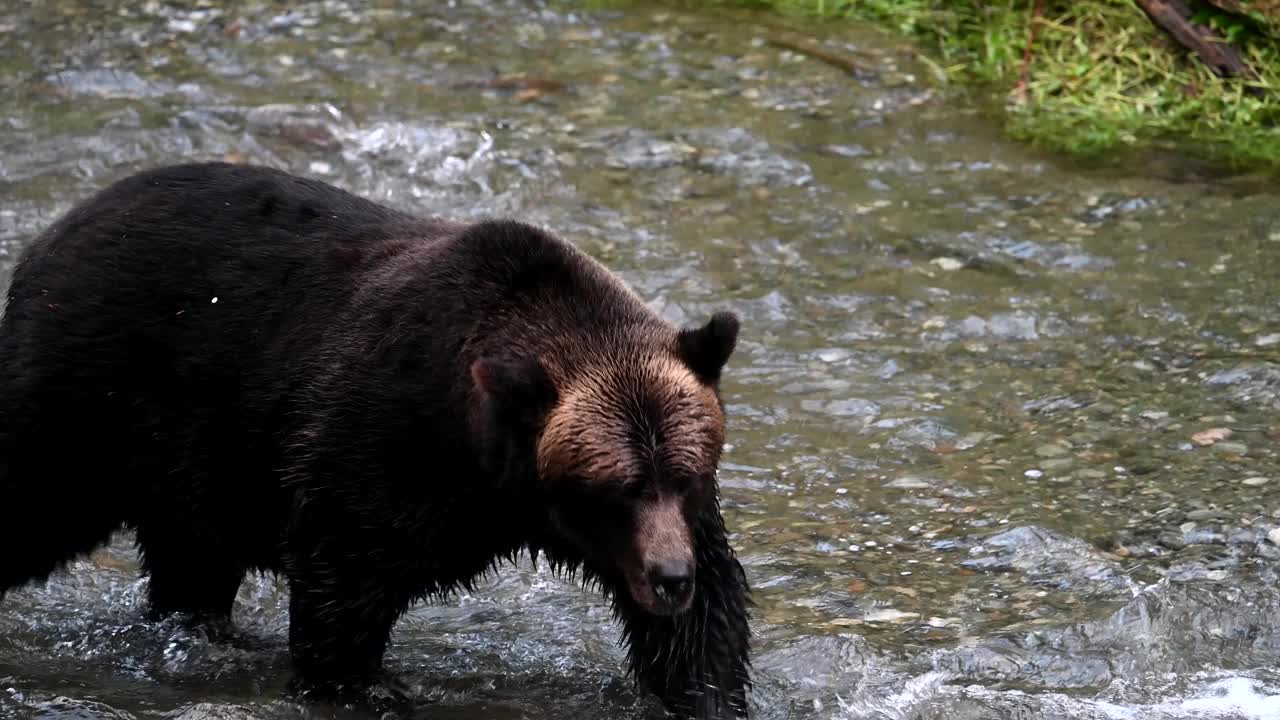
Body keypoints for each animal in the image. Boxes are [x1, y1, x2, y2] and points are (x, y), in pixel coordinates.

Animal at [0, 162, 752, 717]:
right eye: (618, 487)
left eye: (683, 477)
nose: (669, 578)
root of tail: (52, 233)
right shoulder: (383, 439)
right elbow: (343, 580)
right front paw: (366, 685)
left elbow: (703, 626)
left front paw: (703, 690)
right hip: (89, 398)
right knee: (32, 500)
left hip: (187, 473)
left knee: (191, 566)